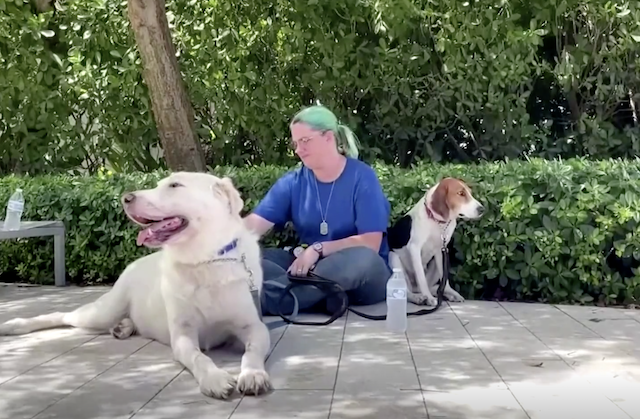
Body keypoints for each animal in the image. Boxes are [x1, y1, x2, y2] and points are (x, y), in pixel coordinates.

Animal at [0, 173, 272, 400]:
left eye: (175, 185)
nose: (126, 198)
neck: (203, 261)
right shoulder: (183, 334)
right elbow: (199, 358)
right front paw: (214, 379)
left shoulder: (254, 325)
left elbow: (252, 351)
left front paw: (253, 375)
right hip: (103, 311)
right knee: (63, 315)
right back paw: (14, 325)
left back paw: (123, 327)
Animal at [384, 176, 484, 306]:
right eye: (461, 193)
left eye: (470, 193)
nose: (482, 209)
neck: (436, 221)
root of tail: (414, 287)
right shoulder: (414, 248)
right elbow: (421, 278)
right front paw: (428, 297)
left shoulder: (441, 249)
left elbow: (444, 279)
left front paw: (450, 293)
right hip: (394, 258)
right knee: (406, 290)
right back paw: (418, 297)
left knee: (432, 287)